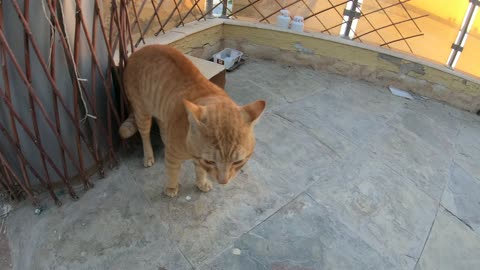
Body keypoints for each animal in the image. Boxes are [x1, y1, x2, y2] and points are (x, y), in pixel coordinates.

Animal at [117, 43, 264, 196]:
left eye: (237, 162)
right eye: (210, 161)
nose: (223, 181)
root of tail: (137, 51)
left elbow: (200, 170)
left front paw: (201, 182)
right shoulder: (174, 156)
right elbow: (172, 172)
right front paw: (171, 188)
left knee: (163, 126)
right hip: (142, 113)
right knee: (145, 135)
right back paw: (148, 156)